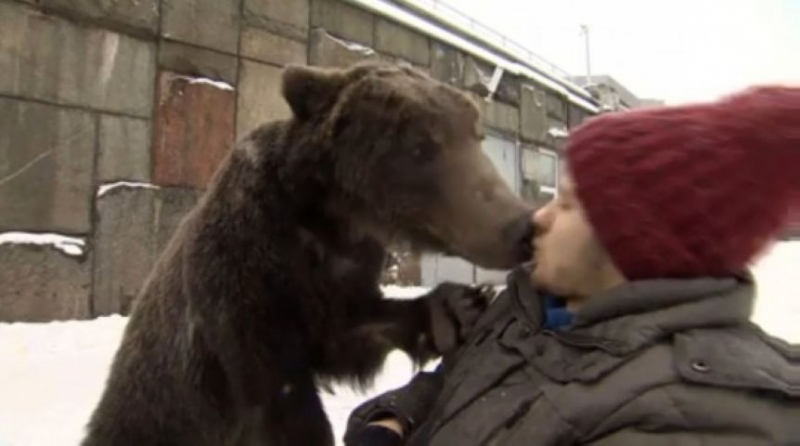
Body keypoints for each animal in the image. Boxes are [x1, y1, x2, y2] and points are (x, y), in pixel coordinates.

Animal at [81, 62, 536, 446]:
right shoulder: (245, 277)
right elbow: (283, 398)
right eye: (420, 146)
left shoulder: (345, 271)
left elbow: (347, 331)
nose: (521, 226)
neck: (330, 219)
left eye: (474, 134)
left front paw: (455, 308)